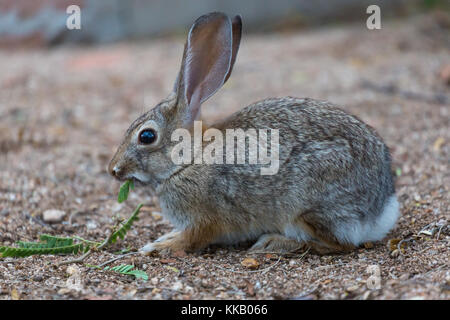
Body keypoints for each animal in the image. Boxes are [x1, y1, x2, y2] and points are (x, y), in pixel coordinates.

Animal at [108, 11, 398, 254]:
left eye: (146, 136)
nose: (113, 169)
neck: (188, 160)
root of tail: (381, 208)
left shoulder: (206, 218)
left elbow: (192, 239)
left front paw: (158, 246)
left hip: (306, 207)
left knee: (339, 244)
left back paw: (275, 242)